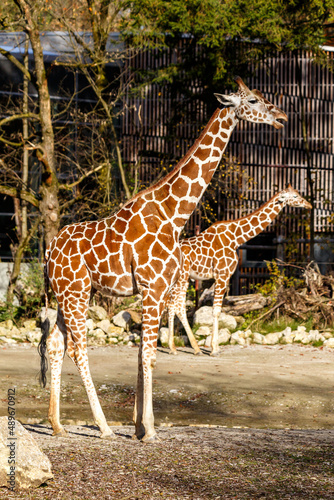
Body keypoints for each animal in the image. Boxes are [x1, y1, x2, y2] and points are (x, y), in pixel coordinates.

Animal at [37, 75, 288, 442]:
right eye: (253, 100)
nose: (282, 118)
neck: (174, 215)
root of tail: (48, 251)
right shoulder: (153, 287)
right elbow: (150, 354)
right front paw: (150, 429)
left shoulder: (154, 289)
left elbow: (143, 352)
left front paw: (139, 426)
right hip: (76, 293)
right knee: (77, 349)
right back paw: (103, 427)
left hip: (68, 294)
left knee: (56, 343)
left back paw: (56, 424)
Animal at [168, 187, 312, 356]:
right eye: (295, 196)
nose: (309, 205)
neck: (236, 238)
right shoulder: (222, 275)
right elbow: (216, 311)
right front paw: (214, 349)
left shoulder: (222, 277)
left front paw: (214, 347)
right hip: (181, 278)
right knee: (176, 306)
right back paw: (186, 348)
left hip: (182, 279)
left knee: (174, 306)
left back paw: (180, 348)